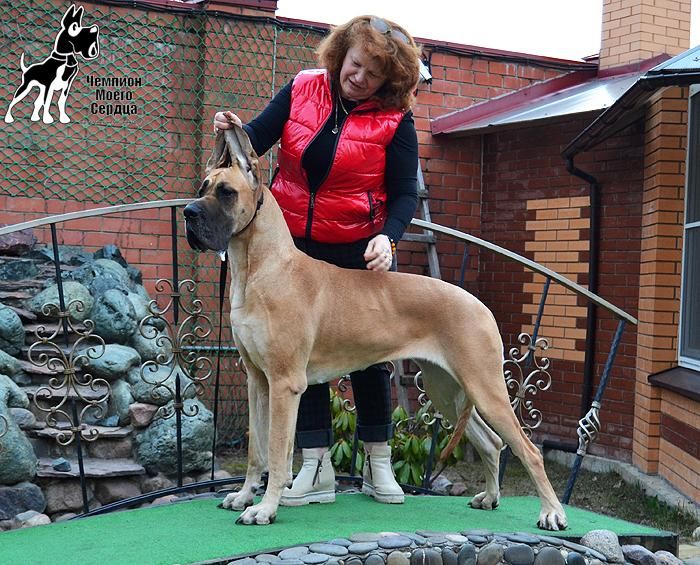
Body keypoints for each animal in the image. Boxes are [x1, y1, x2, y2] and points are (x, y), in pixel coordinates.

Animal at [183, 126, 568, 530]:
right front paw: (244, 496)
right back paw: (491, 498)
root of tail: (480, 305)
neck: (261, 267)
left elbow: (276, 451)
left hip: (484, 387)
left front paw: (264, 508)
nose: (188, 213)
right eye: (203, 187)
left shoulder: (284, 383)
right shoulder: (257, 381)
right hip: (448, 388)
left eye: (226, 192)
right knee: (491, 443)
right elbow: (256, 448)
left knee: (529, 449)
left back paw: (551, 512)